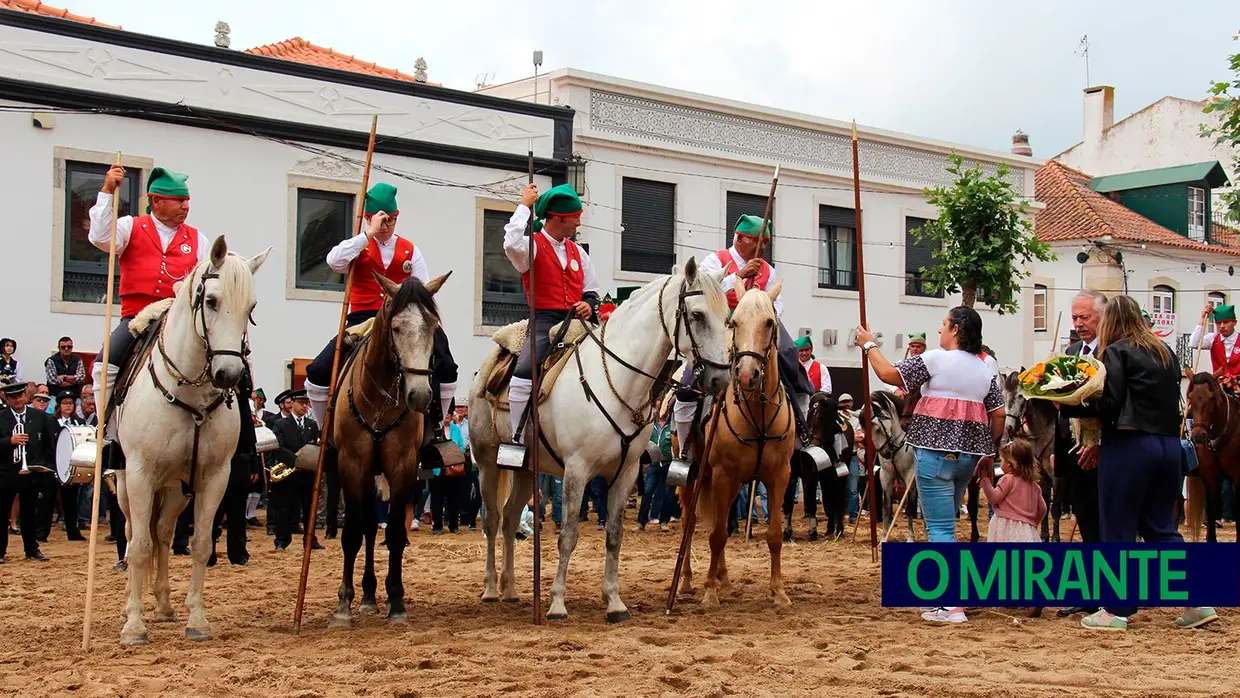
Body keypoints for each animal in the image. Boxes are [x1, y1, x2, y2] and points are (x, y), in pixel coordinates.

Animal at [114, 236, 269, 644]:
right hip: (125, 484)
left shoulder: (213, 477)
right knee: (134, 533)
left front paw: (196, 620)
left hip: (175, 489)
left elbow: (199, 544)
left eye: (251, 307)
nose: (229, 374)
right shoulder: (139, 474)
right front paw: (134, 626)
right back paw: (130, 603)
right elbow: (139, 547)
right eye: (211, 300)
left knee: (164, 533)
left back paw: (165, 605)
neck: (191, 393)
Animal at [329, 272, 451, 627]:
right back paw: (366, 597)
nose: (420, 396)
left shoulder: (403, 465)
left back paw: (373, 595)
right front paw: (343, 605)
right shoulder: (351, 464)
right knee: (368, 526)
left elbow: (396, 531)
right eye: (396, 327)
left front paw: (397, 602)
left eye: (433, 327)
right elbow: (352, 532)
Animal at [471, 257, 729, 622]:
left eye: (727, 318)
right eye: (697, 314)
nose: (721, 379)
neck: (619, 380)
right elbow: (568, 535)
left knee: (508, 520)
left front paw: (614, 602)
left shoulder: (626, 473)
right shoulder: (576, 472)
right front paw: (557, 604)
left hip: (524, 469)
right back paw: (492, 589)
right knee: (493, 520)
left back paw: (509, 589)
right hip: (487, 463)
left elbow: (615, 536)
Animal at [679, 283, 793, 612]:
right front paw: (709, 593)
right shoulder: (722, 475)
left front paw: (778, 592)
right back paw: (688, 581)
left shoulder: (779, 476)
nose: (746, 374)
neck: (758, 413)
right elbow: (716, 534)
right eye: (734, 322)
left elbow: (774, 534)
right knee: (690, 524)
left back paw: (724, 578)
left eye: (769, 322)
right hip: (693, 480)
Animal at [1180, 374, 1240, 543]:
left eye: (1212, 397)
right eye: (1190, 397)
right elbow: (1212, 509)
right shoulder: (1209, 476)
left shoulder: (1237, 476)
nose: (1198, 436)